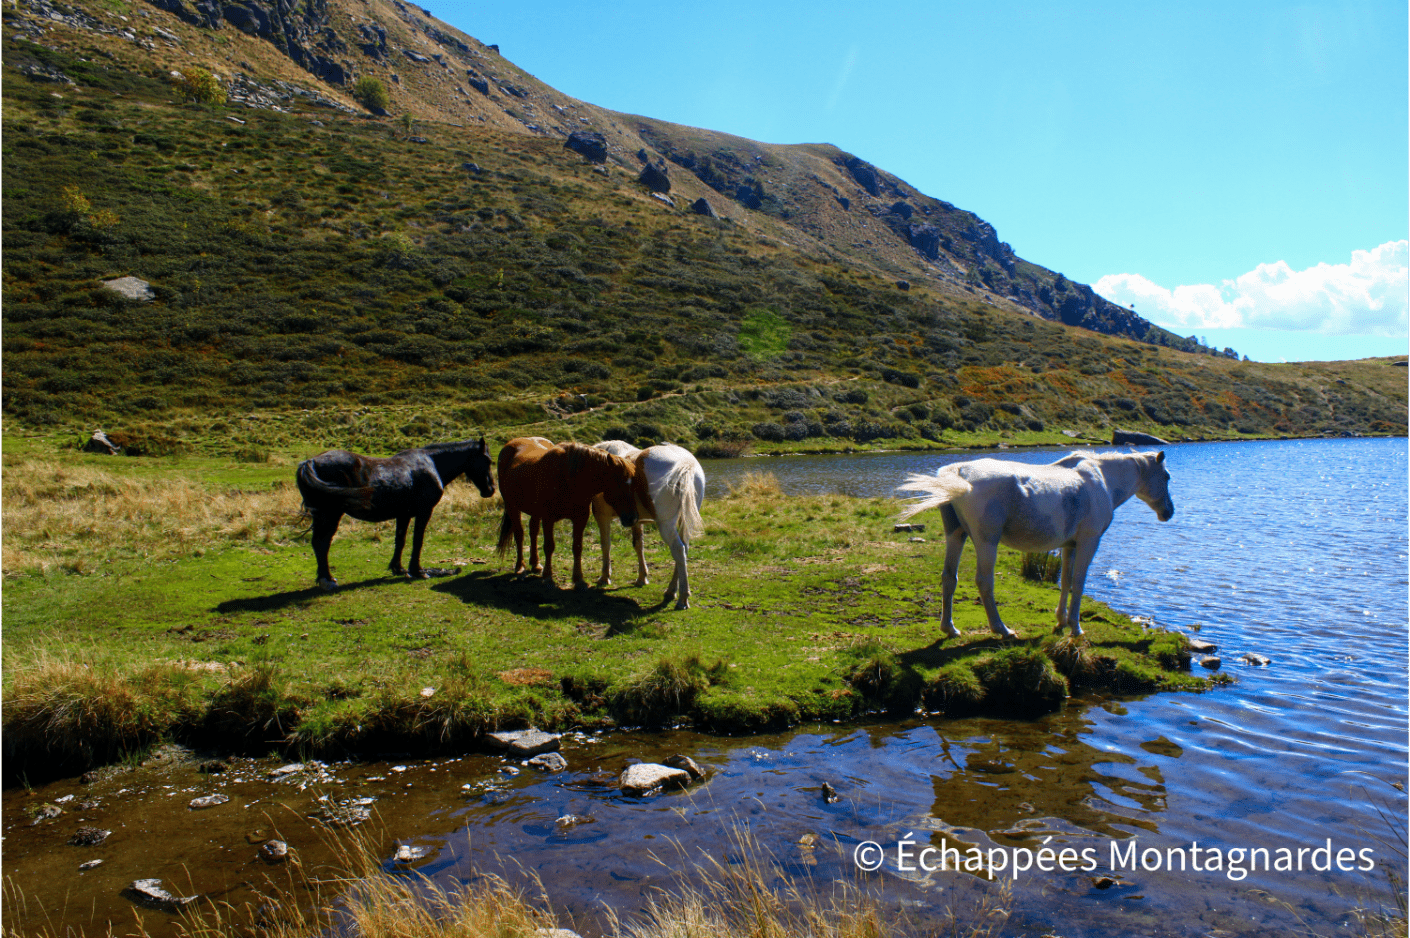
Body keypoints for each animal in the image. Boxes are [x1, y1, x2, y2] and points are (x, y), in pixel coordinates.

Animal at [296, 438, 495, 590]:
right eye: (487, 460)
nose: (491, 489)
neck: (431, 464)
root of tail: (309, 463)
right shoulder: (424, 511)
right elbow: (417, 540)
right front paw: (418, 571)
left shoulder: (404, 515)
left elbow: (400, 540)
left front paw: (398, 568)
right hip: (330, 515)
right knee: (322, 544)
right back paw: (327, 580)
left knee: (319, 544)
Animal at [496, 438, 640, 589]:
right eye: (620, 484)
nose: (633, 518)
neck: (569, 477)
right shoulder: (548, 518)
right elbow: (549, 546)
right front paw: (548, 577)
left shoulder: (580, 518)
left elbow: (577, 547)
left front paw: (579, 579)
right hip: (512, 506)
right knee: (519, 534)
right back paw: (520, 567)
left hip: (534, 511)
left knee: (533, 532)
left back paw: (535, 564)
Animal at [590, 441, 706, 610]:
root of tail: (686, 463)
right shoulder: (635, 521)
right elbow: (638, 545)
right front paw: (642, 577)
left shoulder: (602, 517)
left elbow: (606, 545)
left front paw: (605, 577)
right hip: (685, 521)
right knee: (684, 549)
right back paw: (671, 590)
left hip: (666, 525)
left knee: (678, 549)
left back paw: (682, 598)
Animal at [897, 450, 1173, 639]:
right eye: (1167, 476)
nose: (1169, 512)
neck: (1101, 480)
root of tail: (959, 472)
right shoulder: (1089, 541)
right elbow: (1078, 583)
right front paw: (1076, 628)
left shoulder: (1069, 546)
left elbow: (1066, 581)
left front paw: (1061, 621)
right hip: (987, 542)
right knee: (984, 581)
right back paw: (1002, 629)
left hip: (956, 535)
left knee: (949, 578)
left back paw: (950, 629)